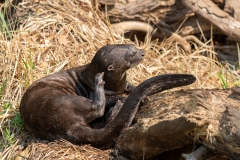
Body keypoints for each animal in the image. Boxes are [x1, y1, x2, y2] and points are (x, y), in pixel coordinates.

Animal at [20, 44, 197, 149]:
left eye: (133, 46)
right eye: (131, 55)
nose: (142, 53)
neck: (116, 84)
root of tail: (67, 126)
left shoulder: (123, 85)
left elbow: (130, 87)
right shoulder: (97, 91)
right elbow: (111, 98)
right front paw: (125, 98)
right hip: (65, 102)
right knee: (98, 108)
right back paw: (104, 87)